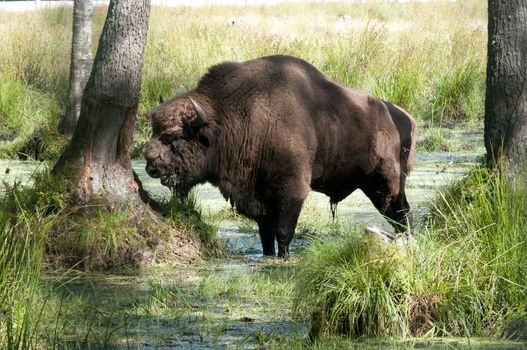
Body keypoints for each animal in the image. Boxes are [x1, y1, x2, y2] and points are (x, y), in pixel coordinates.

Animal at [143, 55, 416, 258]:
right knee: (399, 214)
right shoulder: (258, 197)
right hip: (373, 186)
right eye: (155, 131)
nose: (151, 165)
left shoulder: (291, 191)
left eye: (177, 138)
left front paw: (283, 257)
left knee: (400, 211)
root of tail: (402, 116)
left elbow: (283, 233)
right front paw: (267, 255)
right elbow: (266, 234)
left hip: (386, 182)